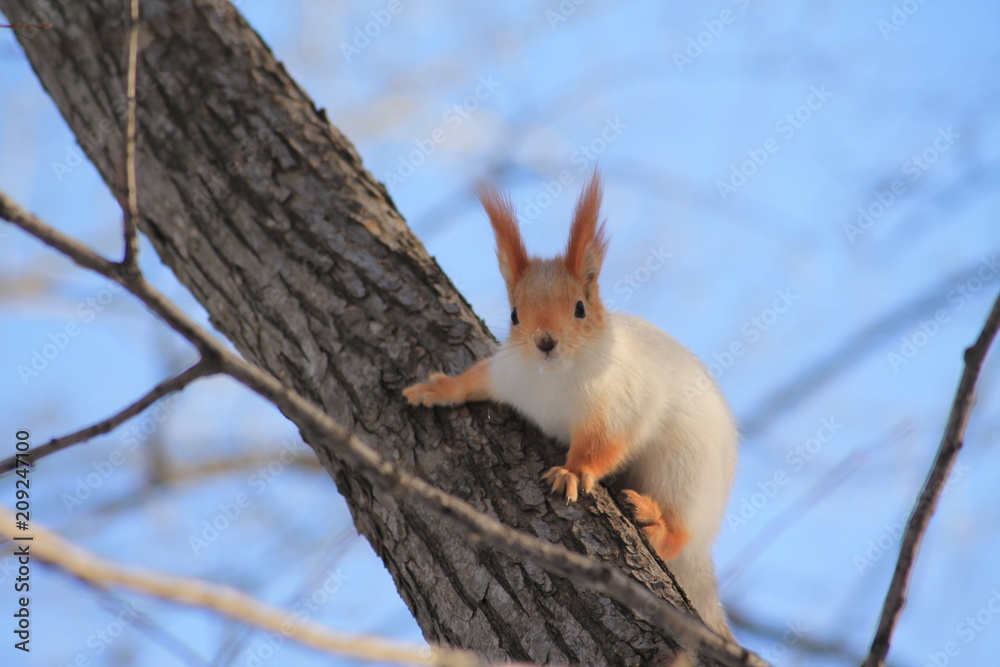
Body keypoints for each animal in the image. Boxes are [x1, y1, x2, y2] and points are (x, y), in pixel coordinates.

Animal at [403, 171, 738, 638]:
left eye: (580, 308)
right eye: (514, 315)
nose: (545, 341)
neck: (552, 380)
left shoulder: (618, 404)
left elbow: (603, 444)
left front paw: (573, 472)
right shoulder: (507, 374)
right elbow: (474, 380)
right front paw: (438, 389)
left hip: (684, 471)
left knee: (680, 534)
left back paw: (653, 519)